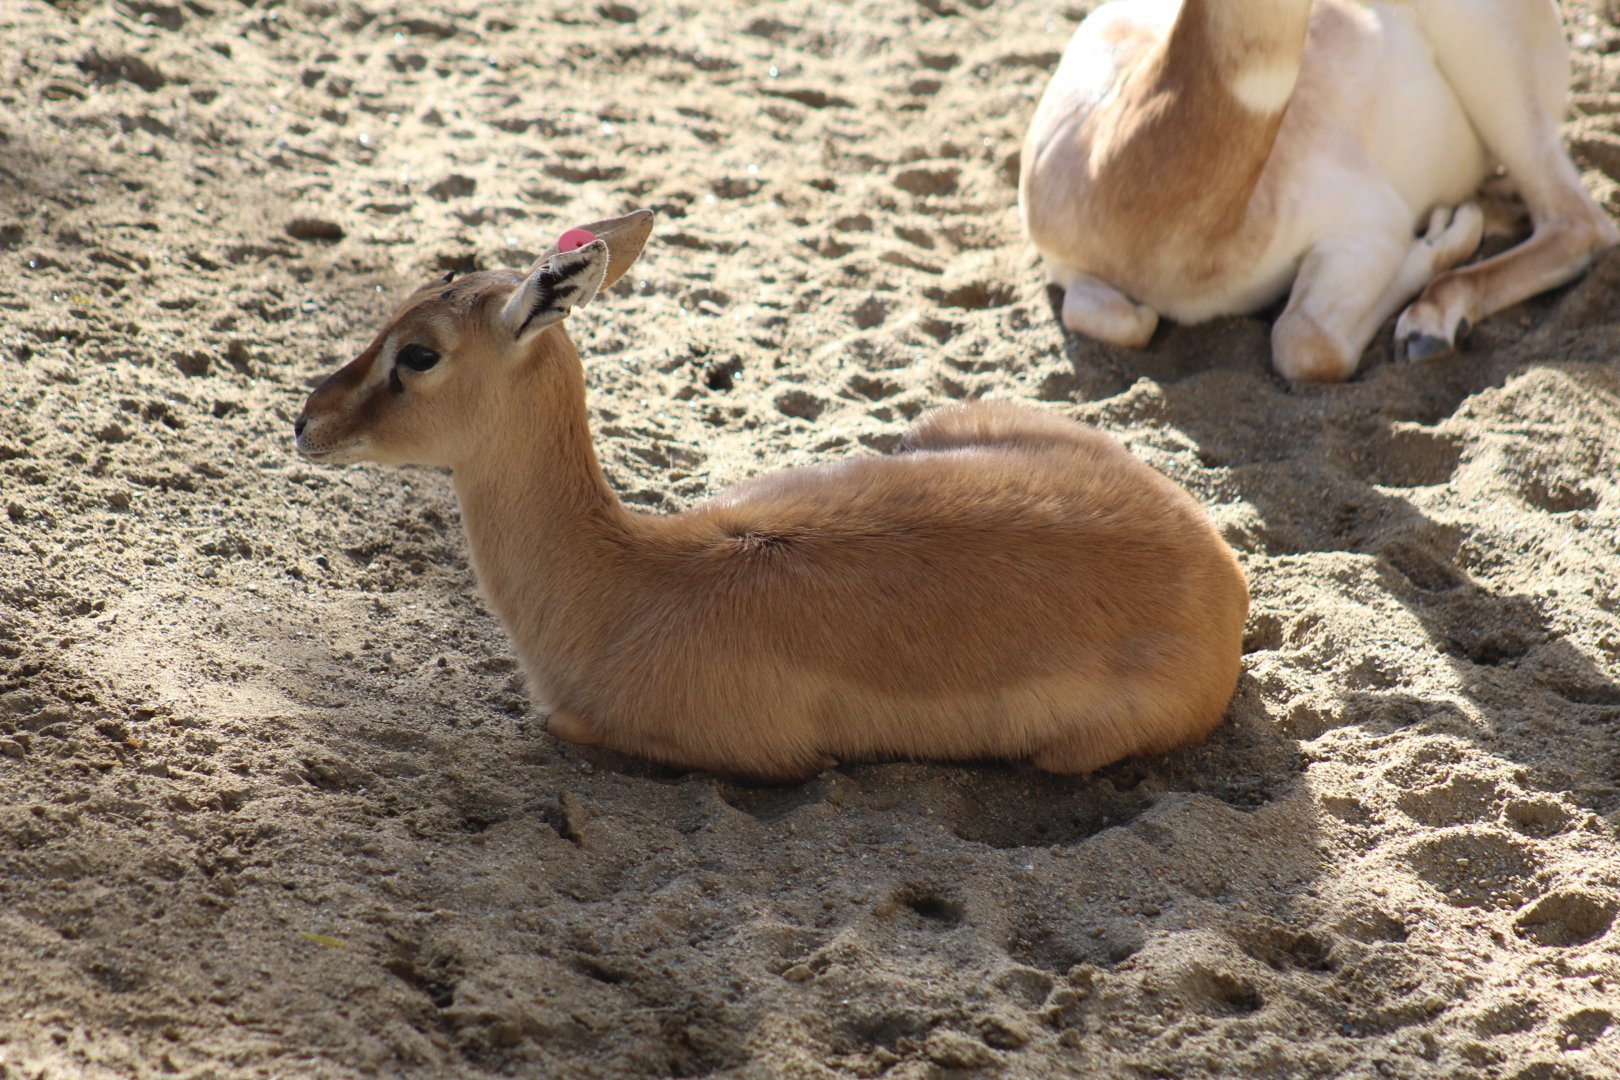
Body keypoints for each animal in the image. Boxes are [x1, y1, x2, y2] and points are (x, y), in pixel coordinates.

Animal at [1019, 0, 1619, 383]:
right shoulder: (1065, 263)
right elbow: (1117, 319)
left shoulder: (1367, 226)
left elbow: (1305, 344)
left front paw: (1444, 237)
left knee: (1580, 223)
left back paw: (1431, 321)